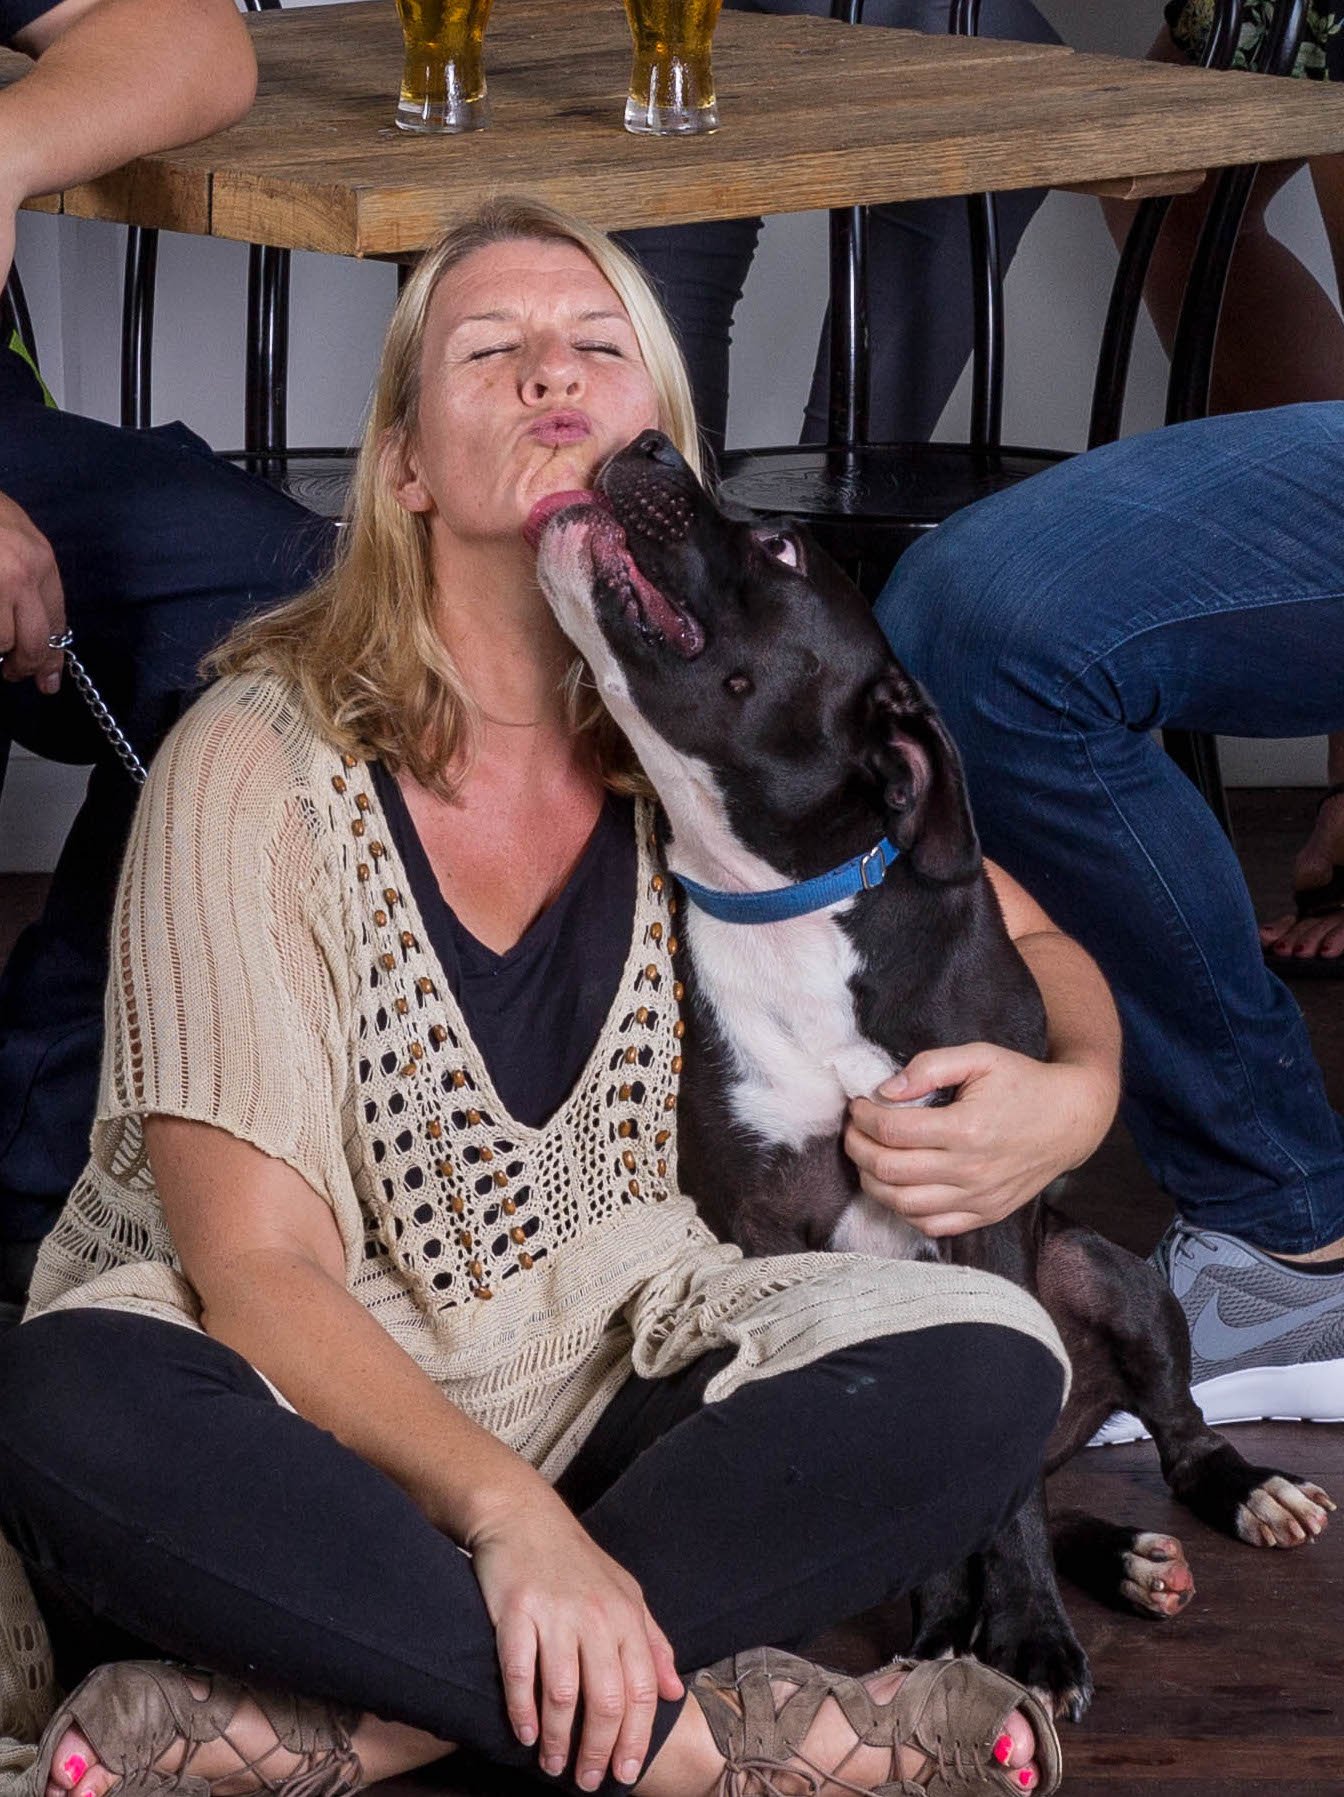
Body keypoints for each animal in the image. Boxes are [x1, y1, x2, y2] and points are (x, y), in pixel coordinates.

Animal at [531, 427, 1336, 1717]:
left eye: (780, 546)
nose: (650, 440)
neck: (788, 901)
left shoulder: (984, 1201)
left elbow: (997, 1500)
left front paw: (1027, 1635)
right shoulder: (765, 1232)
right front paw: (953, 1625)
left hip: (1099, 1268)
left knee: (1164, 1427)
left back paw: (1234, 1493)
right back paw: (1104, 1558)